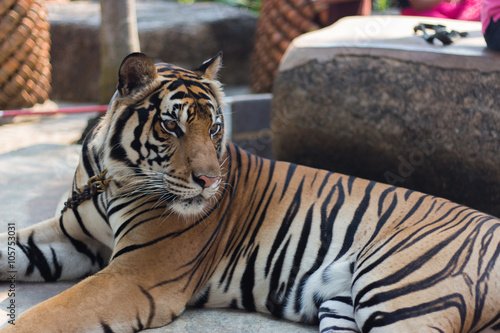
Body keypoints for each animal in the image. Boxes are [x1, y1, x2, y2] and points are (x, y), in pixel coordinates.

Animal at [0, 51, 500, 330]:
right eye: (171, 126)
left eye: (214, 127)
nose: (209, 181)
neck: (112, 175)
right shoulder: (72, 239)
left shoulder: (135, 273)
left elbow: (49, 315)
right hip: (343, 308)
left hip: (399, 294)